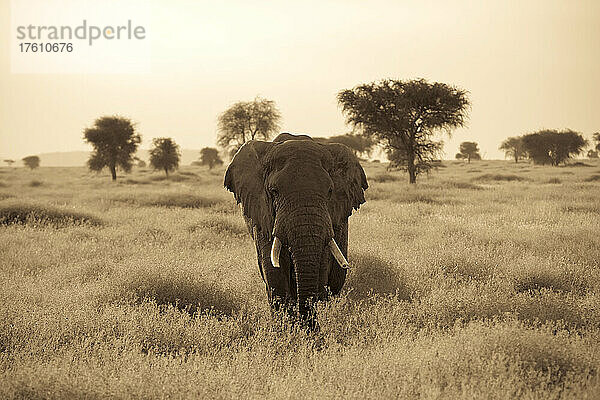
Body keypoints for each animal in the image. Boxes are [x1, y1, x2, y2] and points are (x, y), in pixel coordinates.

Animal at [224, 133, 368, 330]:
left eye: (330, 191)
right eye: (274, 191)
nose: (310, 328)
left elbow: (321, 267)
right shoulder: (263, 215)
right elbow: (273, 270)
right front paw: (286, 330)